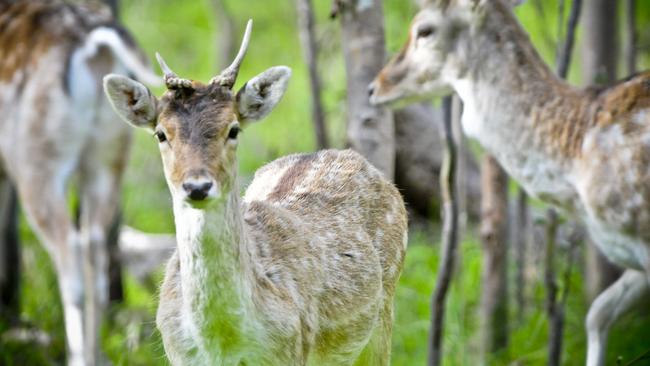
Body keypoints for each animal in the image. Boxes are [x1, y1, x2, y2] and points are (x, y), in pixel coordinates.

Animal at [0, 1, 159, 364]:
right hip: (109, 154)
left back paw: (77, 356)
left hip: (37, 158)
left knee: (69, 253)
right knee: (97, 252)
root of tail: (94, 46)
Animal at [101, 20, 404, 366]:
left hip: (385, 310)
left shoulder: (290, 349)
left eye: (233, 129)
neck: (222, 341)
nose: (197, 186)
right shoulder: (177, 351)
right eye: (160, 133)